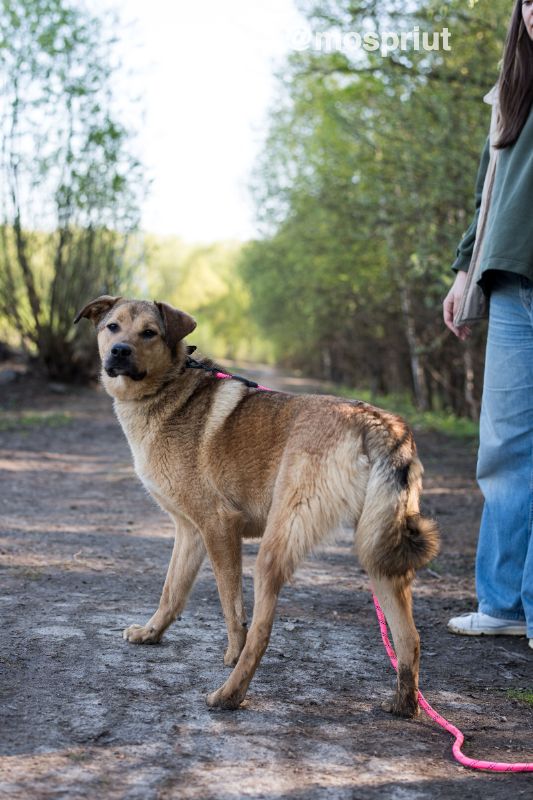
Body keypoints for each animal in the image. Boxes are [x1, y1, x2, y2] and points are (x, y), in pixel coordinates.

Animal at [76, 296, 440, 720]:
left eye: (149, 332)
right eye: (112, 327)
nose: (119, 352)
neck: (167, 387)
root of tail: (376, 423)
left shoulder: (219, 528)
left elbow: (231, 608)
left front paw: (230, 654)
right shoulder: (189, 532)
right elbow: (172, 591)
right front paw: (151, 633)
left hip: (273, 551)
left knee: (262, 635)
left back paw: (228, 695)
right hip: (380, 557)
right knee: (409, 638)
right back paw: (404, 704)